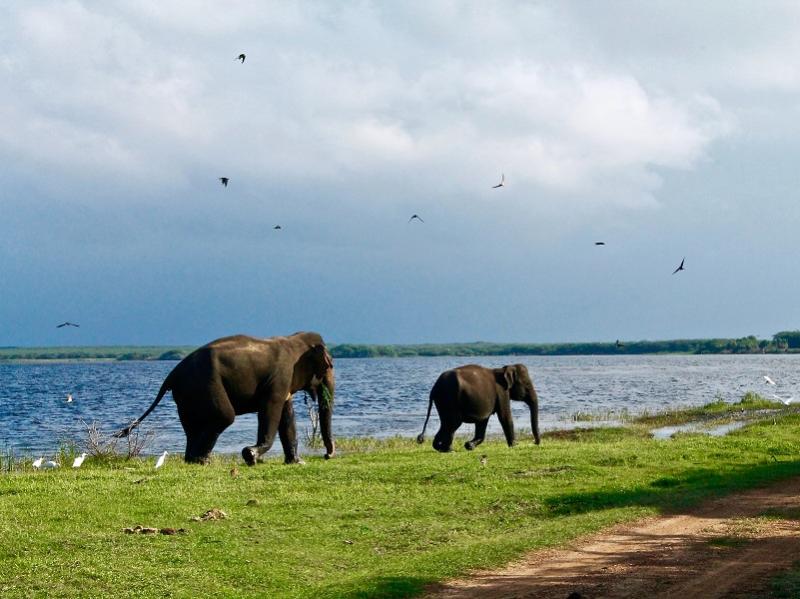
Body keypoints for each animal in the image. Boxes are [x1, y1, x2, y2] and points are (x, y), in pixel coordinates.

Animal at [115, 330, 334, 466]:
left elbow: (287, 416)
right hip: (206, 384)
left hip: (186, 395)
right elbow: (271, 410)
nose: (327, 455)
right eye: (329, 366)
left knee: (192, 427)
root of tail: (172, 374)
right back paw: (202, 461)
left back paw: (193, 460)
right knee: (224, 417)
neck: (293, 339)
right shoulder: (279, 379)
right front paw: (250, 456)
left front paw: (297, 462)